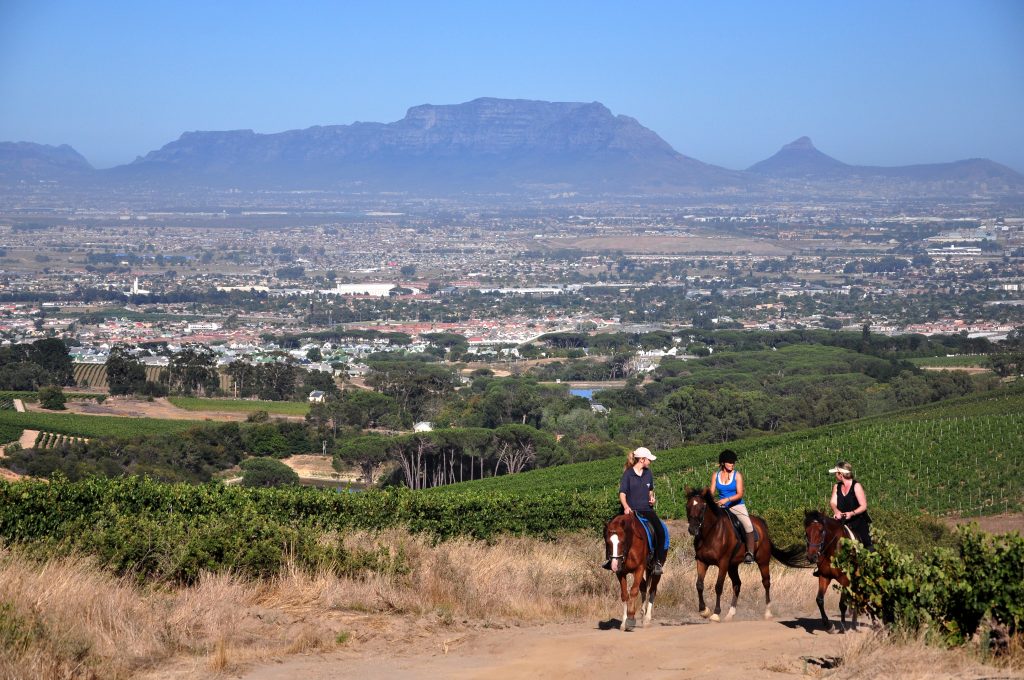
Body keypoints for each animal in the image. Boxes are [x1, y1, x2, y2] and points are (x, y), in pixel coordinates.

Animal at [688, 489, 806, 622]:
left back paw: (768, 613)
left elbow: (718, 586)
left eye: (702, 507)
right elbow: (699, 585)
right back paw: (730, 614)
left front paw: (716, 614)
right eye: (688, 506)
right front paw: (704, 610)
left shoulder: (723, 563)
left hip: (762, 561)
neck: (710, 534)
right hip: (732, 565)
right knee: (737, 584)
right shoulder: (702, 561)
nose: (692, 529)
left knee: (766, 582)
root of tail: (762, 524)